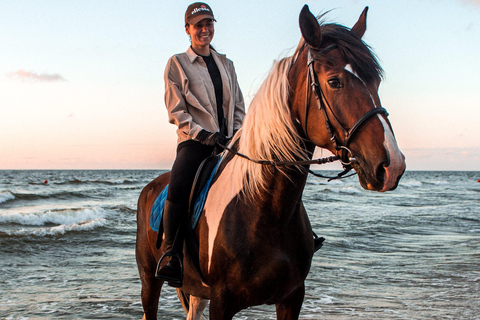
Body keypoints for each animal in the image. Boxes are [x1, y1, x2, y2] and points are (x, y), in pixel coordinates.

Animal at [135, 5, 404, 320]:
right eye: (334, 81)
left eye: (377, 81)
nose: (393, 165)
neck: (265, 208)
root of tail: (152, 187)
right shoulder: (221, 302)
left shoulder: (291, 298)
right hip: (150, 280)